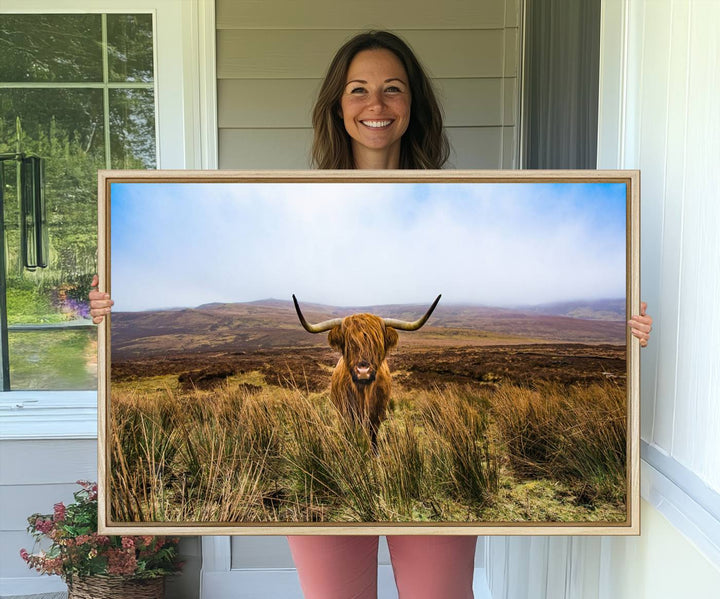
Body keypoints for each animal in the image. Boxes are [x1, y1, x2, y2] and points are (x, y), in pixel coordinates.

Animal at [292, 296, 438, 450]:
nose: (363, 371)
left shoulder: (377, 414)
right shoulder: (345, 413)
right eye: (349, 343)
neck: (363, 393)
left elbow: (373, 434)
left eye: (377, 343)